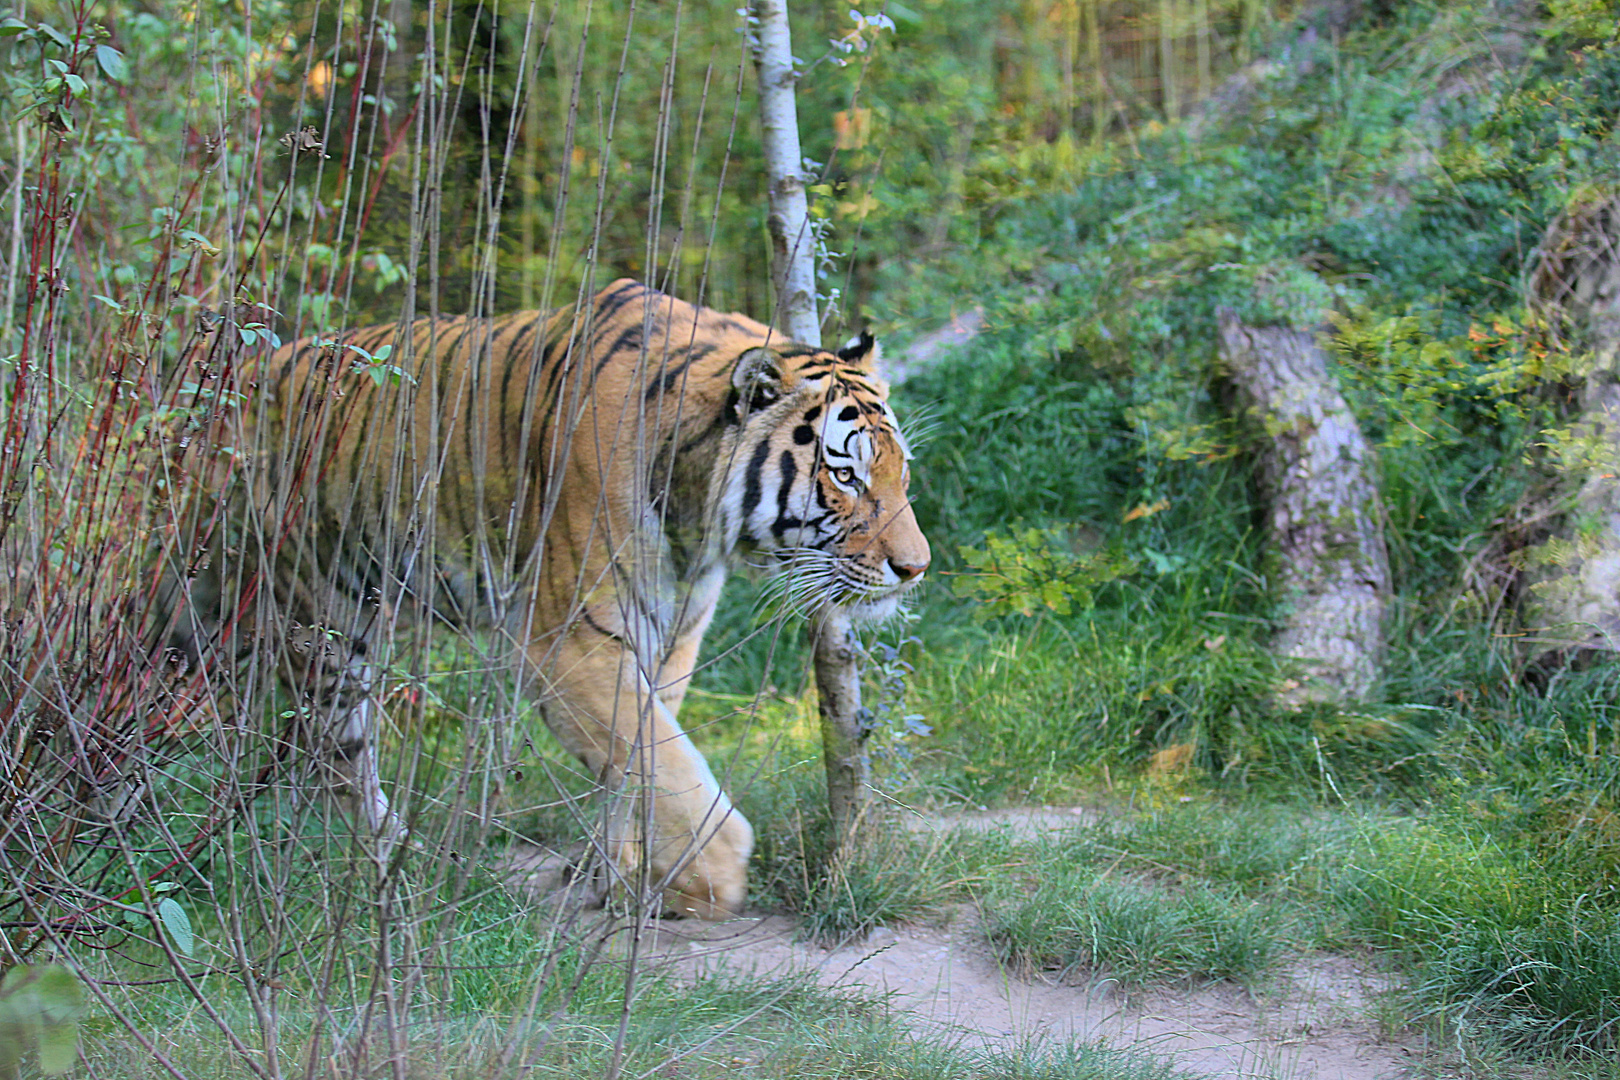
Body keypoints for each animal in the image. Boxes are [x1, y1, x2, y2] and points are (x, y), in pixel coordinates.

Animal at [183, 278, 933, 919]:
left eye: (899, 472)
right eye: (845, 475)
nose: (916, 568)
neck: (697, 517)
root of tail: (235, 387)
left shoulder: (670, 637)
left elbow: (639, 761)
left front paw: (614, 875)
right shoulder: (568, 644)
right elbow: (664, 759)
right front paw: (706, 880)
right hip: (323, 626)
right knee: (337, 759)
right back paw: (399, 868)